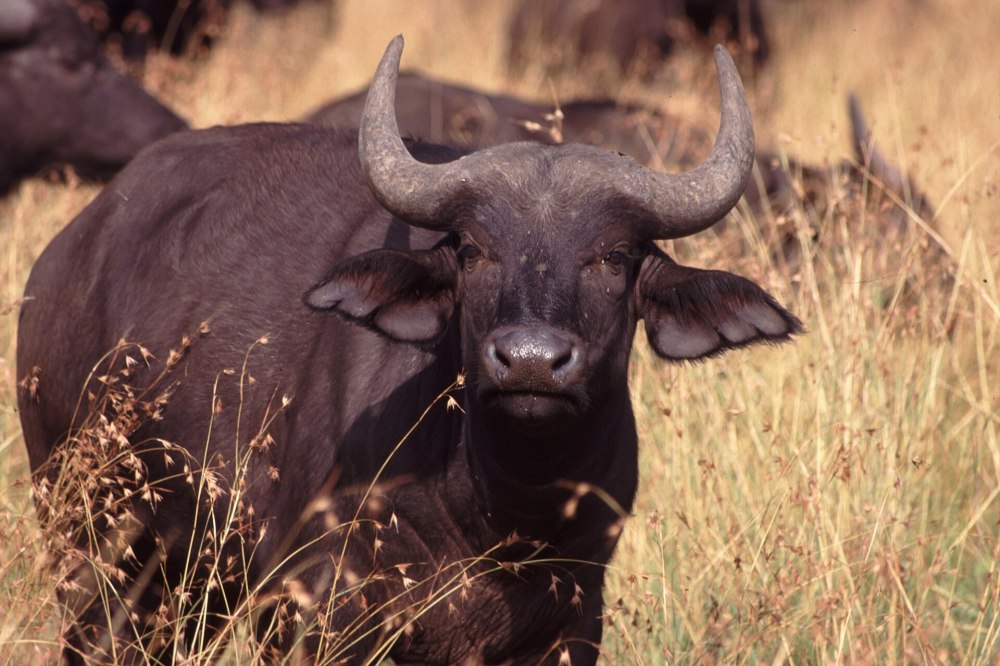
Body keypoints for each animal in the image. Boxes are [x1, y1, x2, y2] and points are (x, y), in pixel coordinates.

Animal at [18, 37, 800, 663]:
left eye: (614, 257)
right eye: (476, 251)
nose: (530, 362)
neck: (503, 516)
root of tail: (68, 254)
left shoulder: (574, 620)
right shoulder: (315, 613)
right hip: (90, 552)